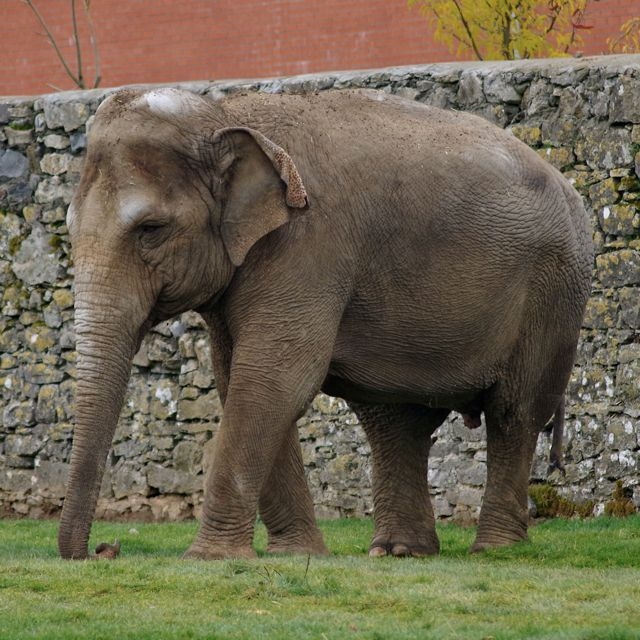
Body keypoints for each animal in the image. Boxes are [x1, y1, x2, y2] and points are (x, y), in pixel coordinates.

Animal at [57, 86, 592, 560]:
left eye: (151, 229)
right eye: (68, 229)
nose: (104, 550)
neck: (225, 114)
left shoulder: (308, 245)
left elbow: (273, 379)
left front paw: (208, 559)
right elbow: (240, 381)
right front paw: (296, 555)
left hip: (554, 291)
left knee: (514, 412)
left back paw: (495, 550)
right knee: (396, 422)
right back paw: (399, 552)